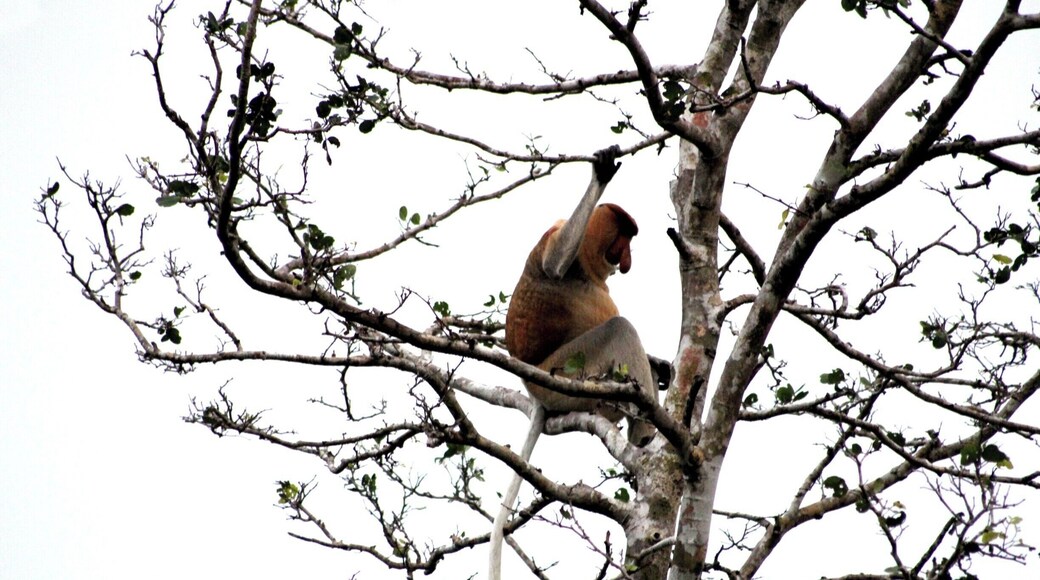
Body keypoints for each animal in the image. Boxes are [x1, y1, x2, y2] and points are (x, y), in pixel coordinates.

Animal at [489, 146, 656, 580]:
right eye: (623, 237)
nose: (626, 262)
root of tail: (534, 391)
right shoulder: (558, 233)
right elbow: (554, 263)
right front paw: (601, 174)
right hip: (563, 374)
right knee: (618, 328)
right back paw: (644, 436)